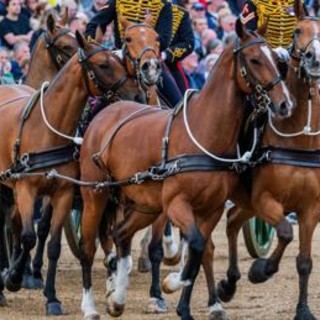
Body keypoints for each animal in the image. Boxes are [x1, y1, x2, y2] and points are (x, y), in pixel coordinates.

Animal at [0, 32, 144, 316]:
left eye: (119, 60)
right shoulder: (26, 189)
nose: (136, 94)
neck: (46, 128)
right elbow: (29, 236)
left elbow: (53, 245)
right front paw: (14, 278)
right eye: (103, 65)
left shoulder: (63, 193)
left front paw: (52, 298)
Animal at [78, 20, 296, 320]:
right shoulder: (176, 205)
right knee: (88, 247)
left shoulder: (211, 209)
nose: (285, 103)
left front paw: (189, 302)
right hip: (95, 197)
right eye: (254, 59)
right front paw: (170, 284)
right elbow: (193, 246)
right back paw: (90, 305)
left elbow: (199, 251)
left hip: (145, 205)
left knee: (120, 235)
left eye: (276, 60)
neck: (205, 133)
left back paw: (118, 298)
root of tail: (105, 113)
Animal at [216, 6, 320, 320]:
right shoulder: (265, 200)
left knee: (232, 220)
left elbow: (304, 262)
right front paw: (261, 270)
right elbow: (285, 232)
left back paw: (229, 283)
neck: (300, 139)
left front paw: (303, 310)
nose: (314, 59)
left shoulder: (311, 209)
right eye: (298, 30)